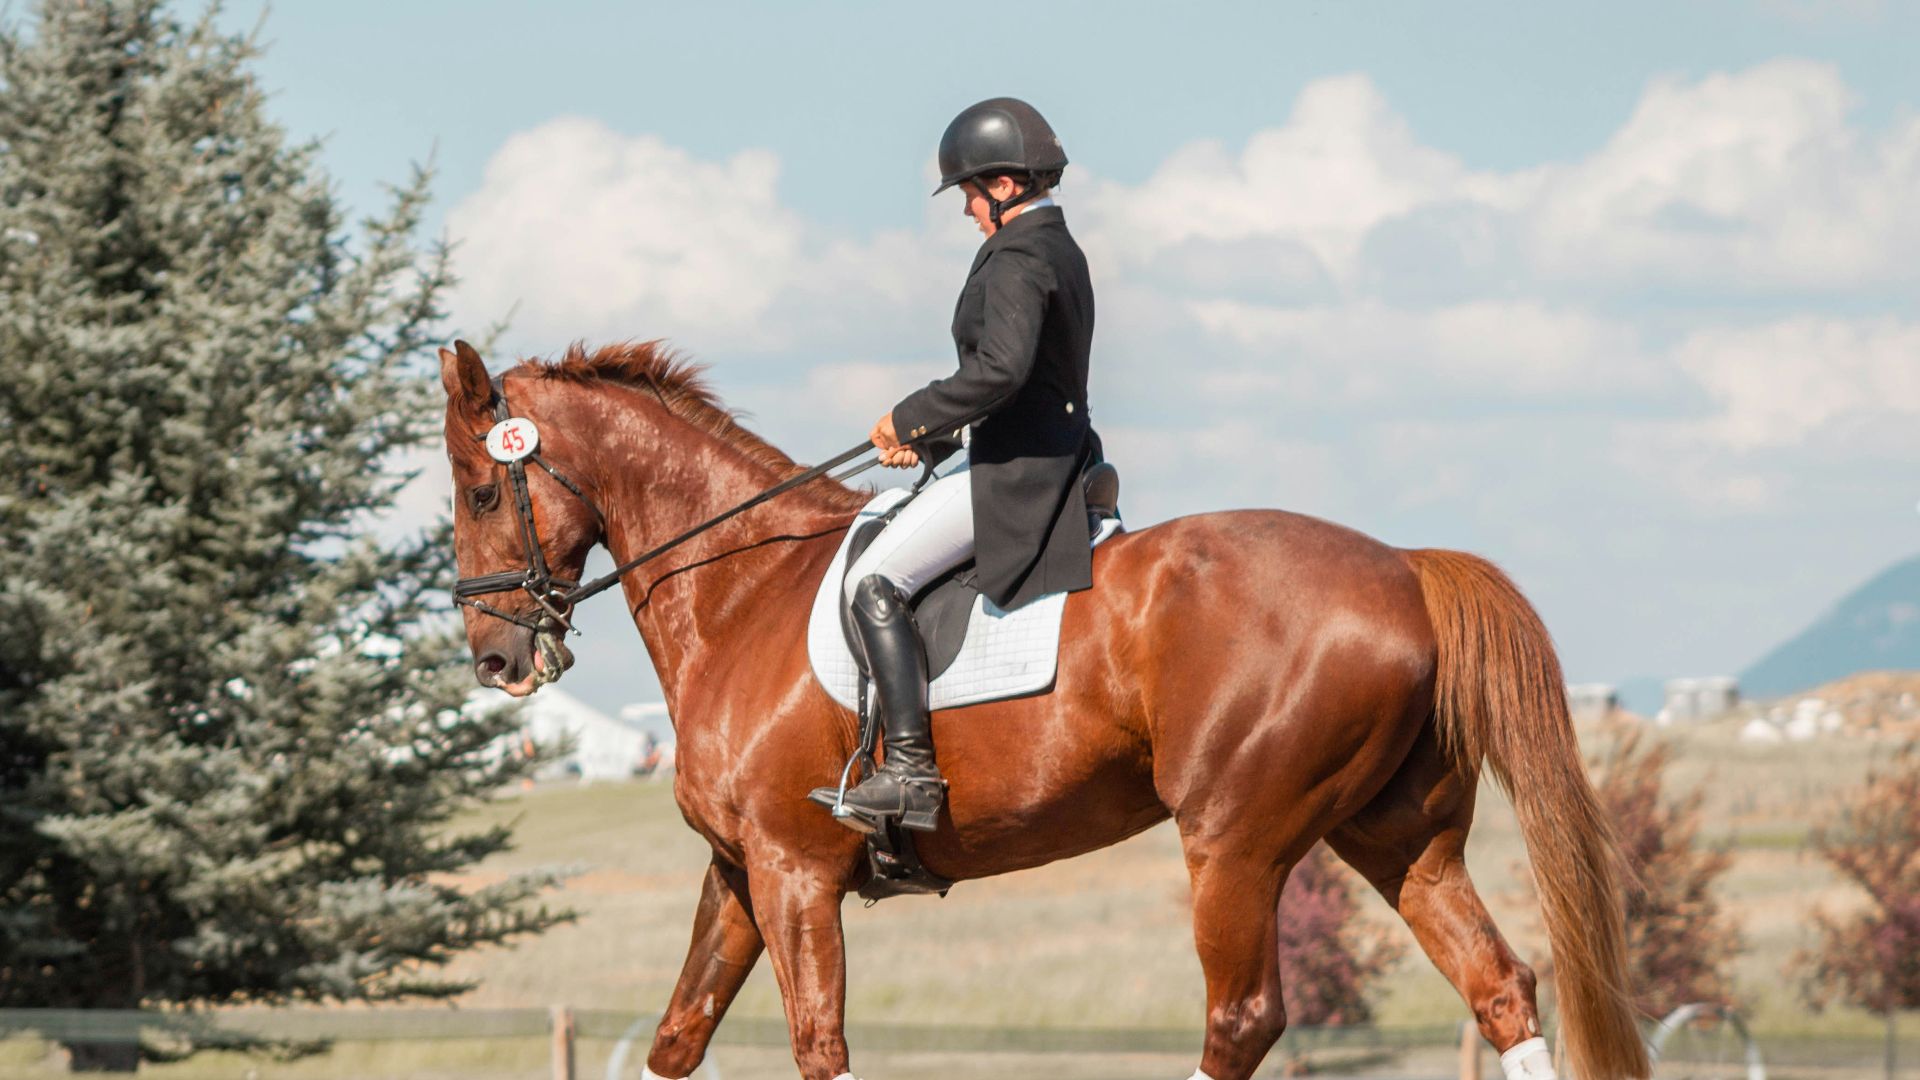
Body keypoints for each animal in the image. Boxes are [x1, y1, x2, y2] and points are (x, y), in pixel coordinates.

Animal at [438, 339, 1650, 1080]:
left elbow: (818, 1041)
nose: (495, 658)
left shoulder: (793, 873)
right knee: (1499, 986)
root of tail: (1402, 568)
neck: (741, 589)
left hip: (1234, 841)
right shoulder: (740, 872)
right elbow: (679, 1035)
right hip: (1400, 839)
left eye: (482, 486)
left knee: (1242, 1018)